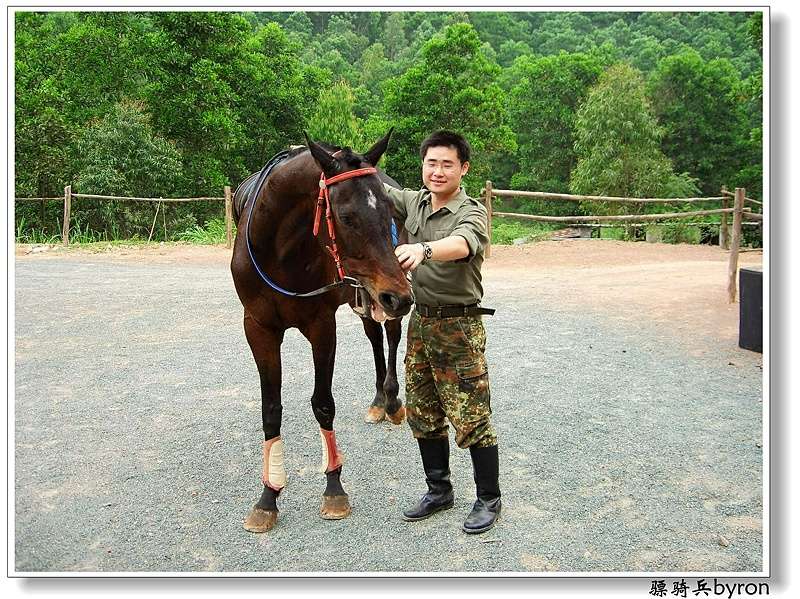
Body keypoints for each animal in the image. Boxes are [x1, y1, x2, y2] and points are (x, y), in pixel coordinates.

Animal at [228, 132, 410, 536]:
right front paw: (268, 497)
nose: (400, 297)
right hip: (367, 293)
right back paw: (378, 401)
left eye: (389, 212)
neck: (279, 251)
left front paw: (334, 489)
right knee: (374, 335)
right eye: (346, 217)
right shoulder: (258, 329)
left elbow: (323, 404)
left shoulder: (322, 325)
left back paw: (391, 400)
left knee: (390, 335)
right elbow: (270, 409)